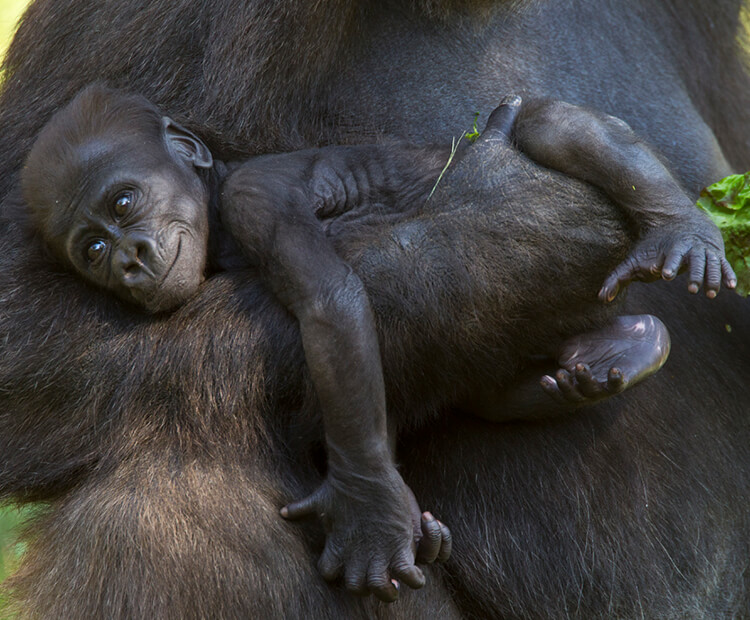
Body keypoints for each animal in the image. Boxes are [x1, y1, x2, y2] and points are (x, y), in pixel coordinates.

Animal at [1, 0, 750, 616]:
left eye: (126, 201)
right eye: (93, 247)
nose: (127, 257)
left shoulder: (254, 193)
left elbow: (330, 301)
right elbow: (29, 334)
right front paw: (509, 226)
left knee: (552, 124)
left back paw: (677, 228)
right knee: (164, 504)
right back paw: (618, 348)